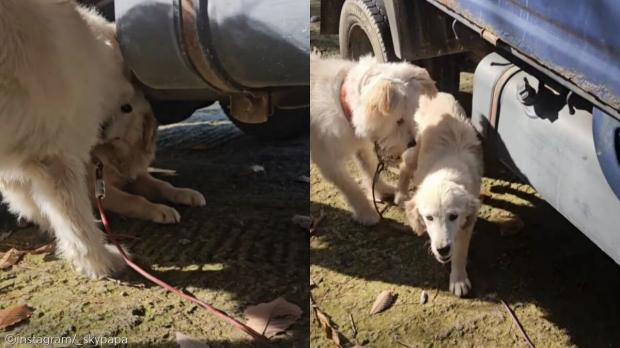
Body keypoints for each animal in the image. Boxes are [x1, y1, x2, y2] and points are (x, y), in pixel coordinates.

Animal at [310, 53, 436, 224]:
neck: (342, 104)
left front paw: (382, 190)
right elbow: (349, 185)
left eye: (413, 115)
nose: (412, 143)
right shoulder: (327, 160)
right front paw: (366, 213)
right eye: (399, 121)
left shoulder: (360, 145)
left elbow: (369, 168)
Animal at [398, 92, 484, 296]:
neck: (446, 169)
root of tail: (437, 93)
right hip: (416, 150)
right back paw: (400, 193)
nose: (443, 250)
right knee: (405, 161)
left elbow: (460, 252)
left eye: (453, 216)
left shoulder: (467, 221)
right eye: (428, 218)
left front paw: (458, 279)